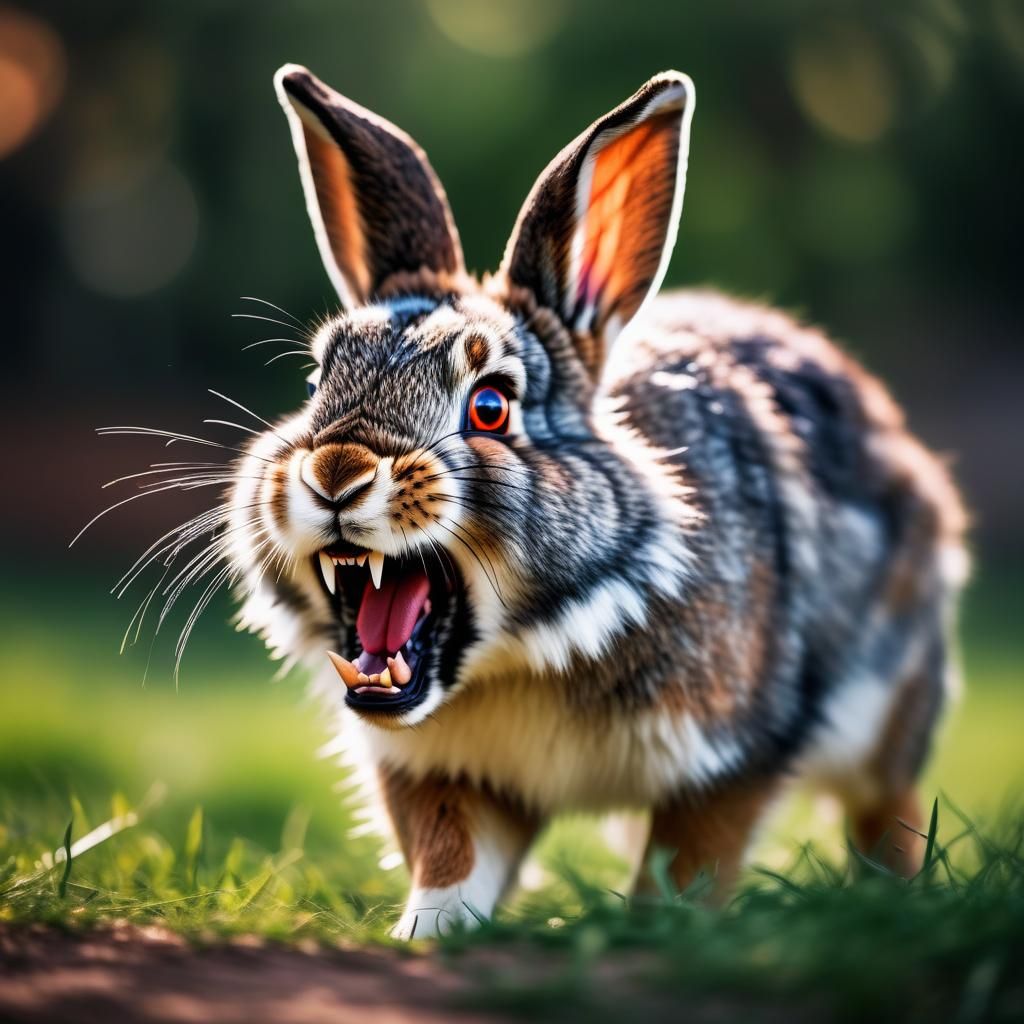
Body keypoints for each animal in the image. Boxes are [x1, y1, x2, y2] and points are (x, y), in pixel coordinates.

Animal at [221, 64, 969, 939]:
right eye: (317, 384)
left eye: (491, 405)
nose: (337, 472)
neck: (522, 651)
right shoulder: (438, 774)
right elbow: (451, 862)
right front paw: (426, 935)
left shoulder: (729, 758)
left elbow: (688, 863)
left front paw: (661, 932)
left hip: (890, 710)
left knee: (887, 808)